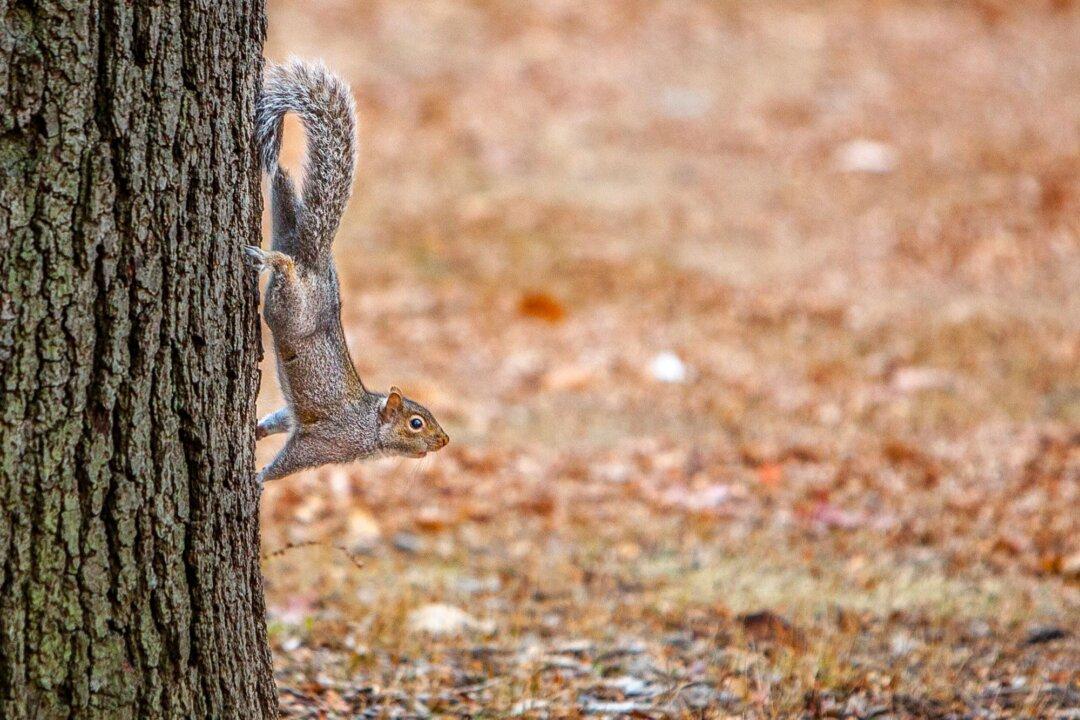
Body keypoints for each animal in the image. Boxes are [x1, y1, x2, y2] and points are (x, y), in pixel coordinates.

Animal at [246, 60, 449, 482]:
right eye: (416, 423)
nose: (445, 440)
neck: (370, 427)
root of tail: (315, 258)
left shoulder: (295, 419)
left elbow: (280, 419)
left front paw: (256, 431)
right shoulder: (326, 443)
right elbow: (289, 462)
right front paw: (258, 478)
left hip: (288, 226)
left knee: (282, 186)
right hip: (290, 308)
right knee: (285, 271)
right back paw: (272, 260)